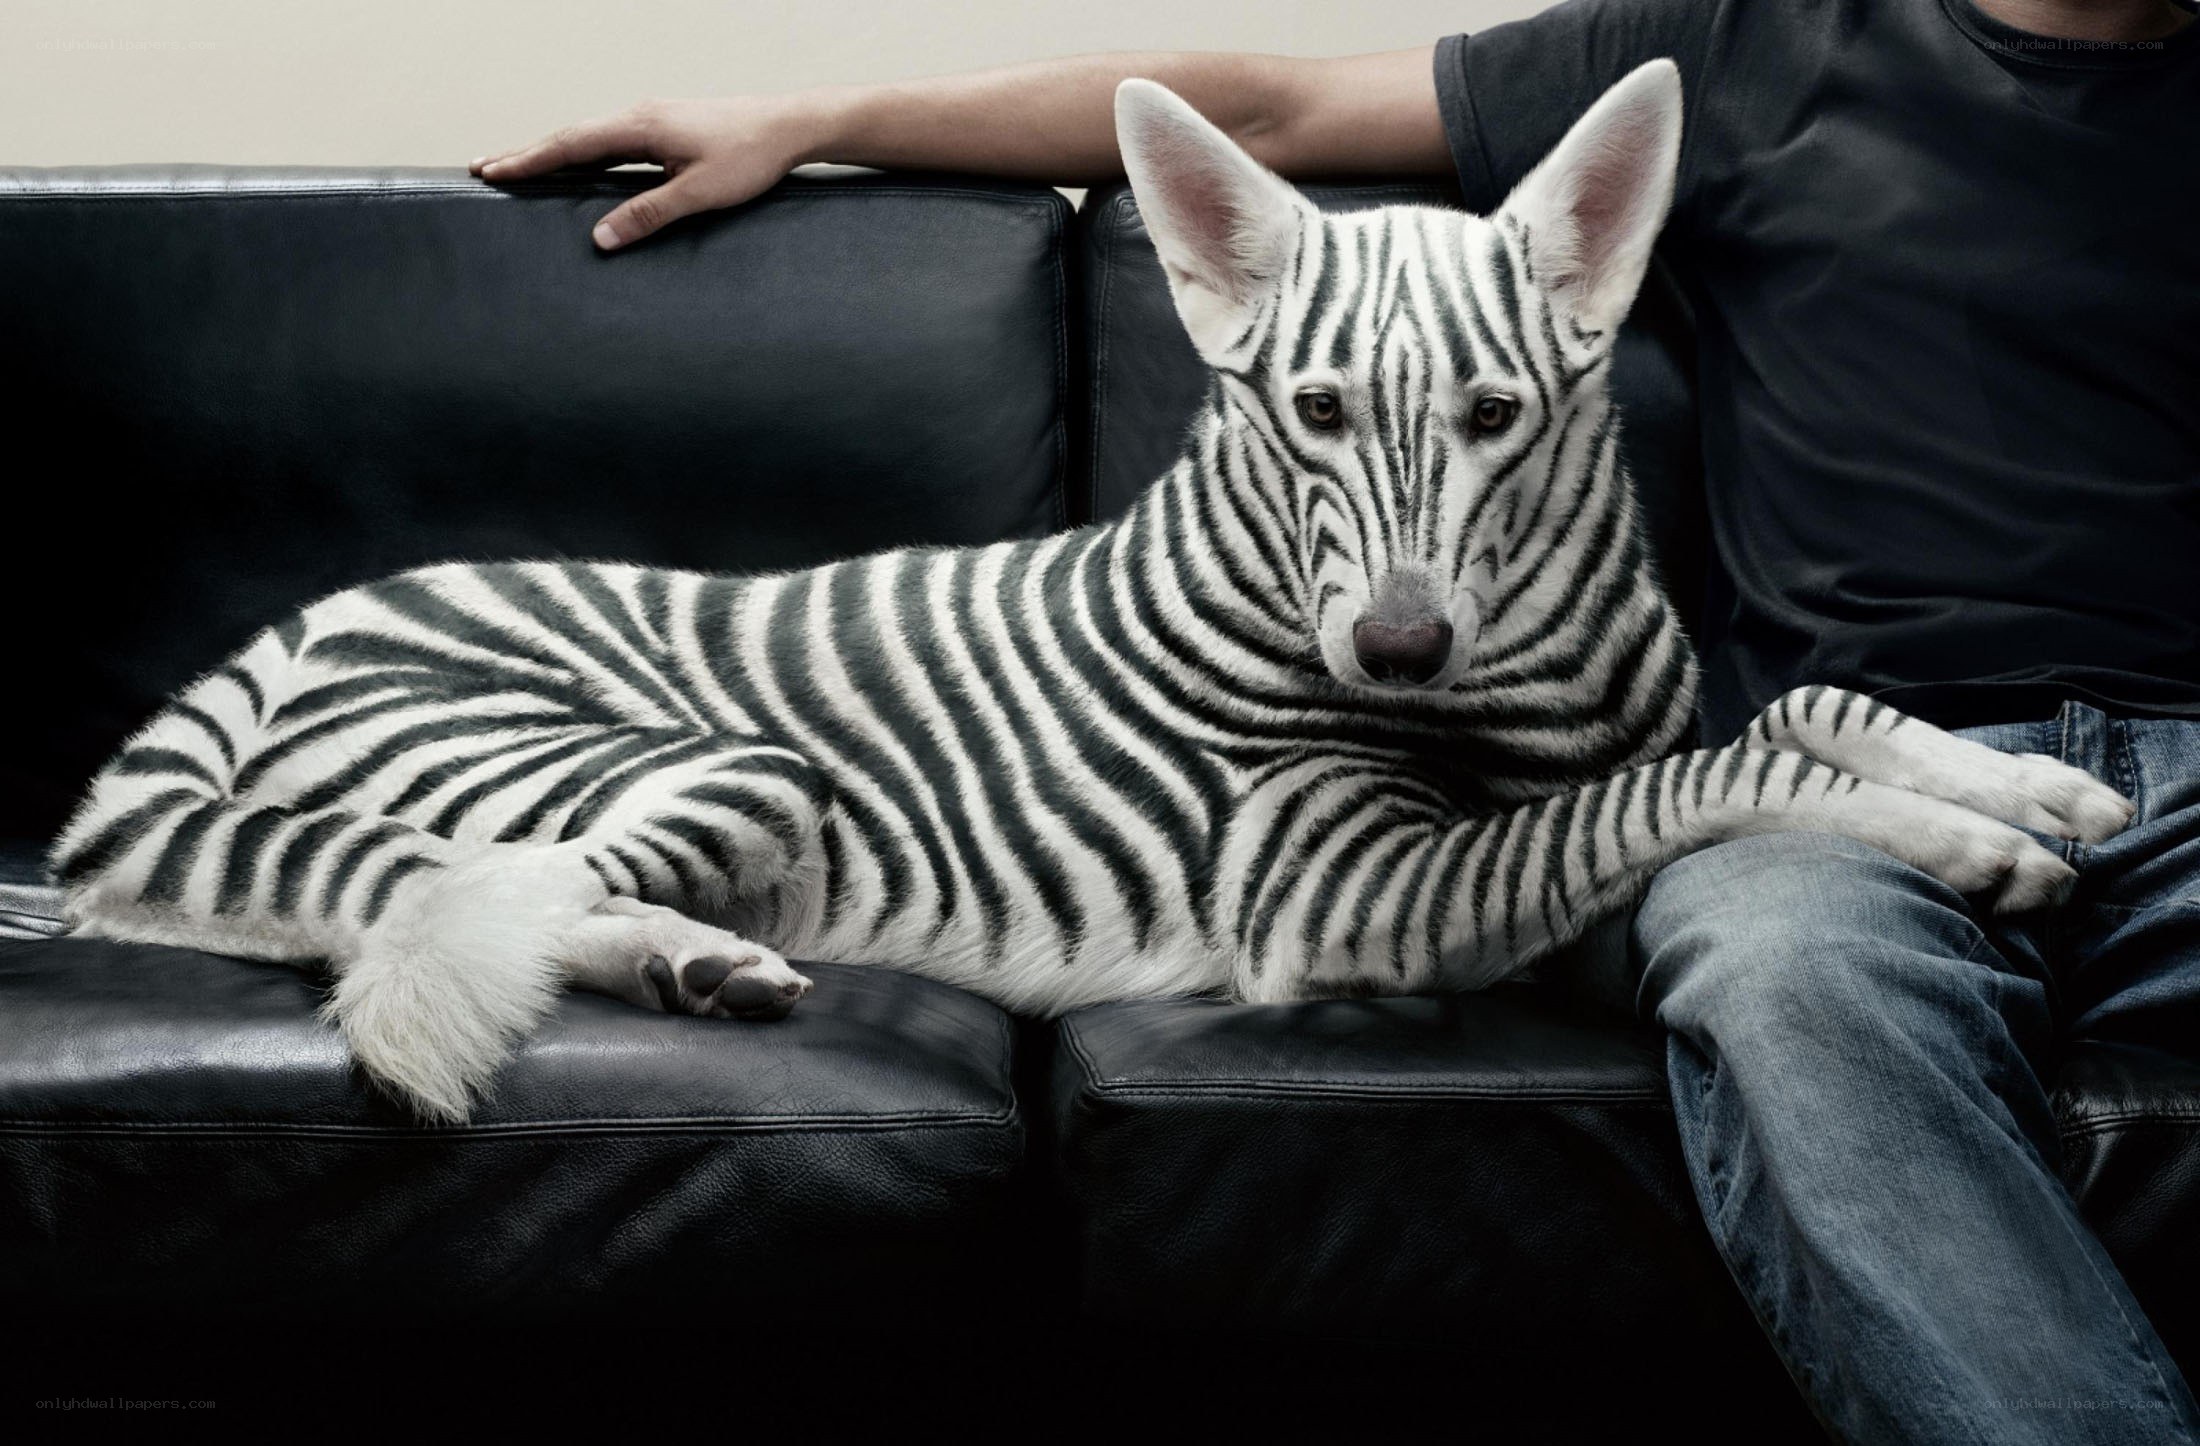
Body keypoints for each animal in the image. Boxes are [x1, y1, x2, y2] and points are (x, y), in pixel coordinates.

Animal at [52, 63, 2133, 1123]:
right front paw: (1967, 841)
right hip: (708, 764)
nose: (1394, 647)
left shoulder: (1621, 723)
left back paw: (697, 968)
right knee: (407, 896)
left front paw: (2022, 779)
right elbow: (1717, 776)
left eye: (1492, 416)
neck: (1522, 687)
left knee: (458, 895)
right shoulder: (1345, 895)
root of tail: (288, 633)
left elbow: (1793, 709)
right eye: (1311, 411)